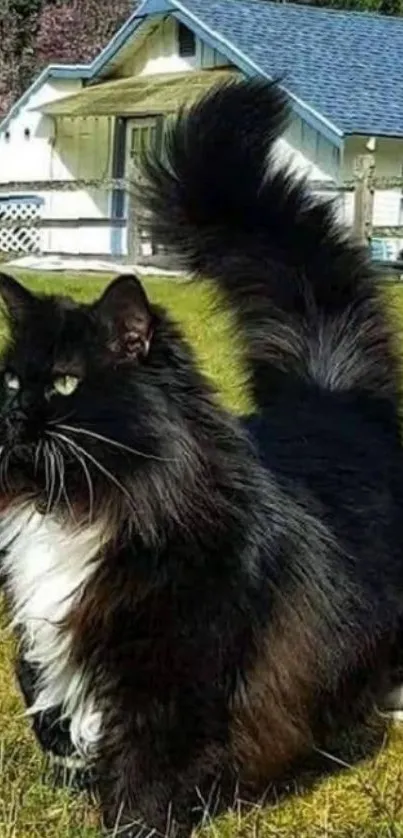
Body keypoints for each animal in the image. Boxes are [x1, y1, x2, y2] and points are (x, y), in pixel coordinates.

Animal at [0, 80, 403, 838]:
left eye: (64, 382)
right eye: (10, 380)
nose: (11, 416)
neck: (85, 506)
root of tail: (329, 393)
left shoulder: (172, 674)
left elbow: (145, 774)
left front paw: (129, 823)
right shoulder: (45, 639)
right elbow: (54, 715)